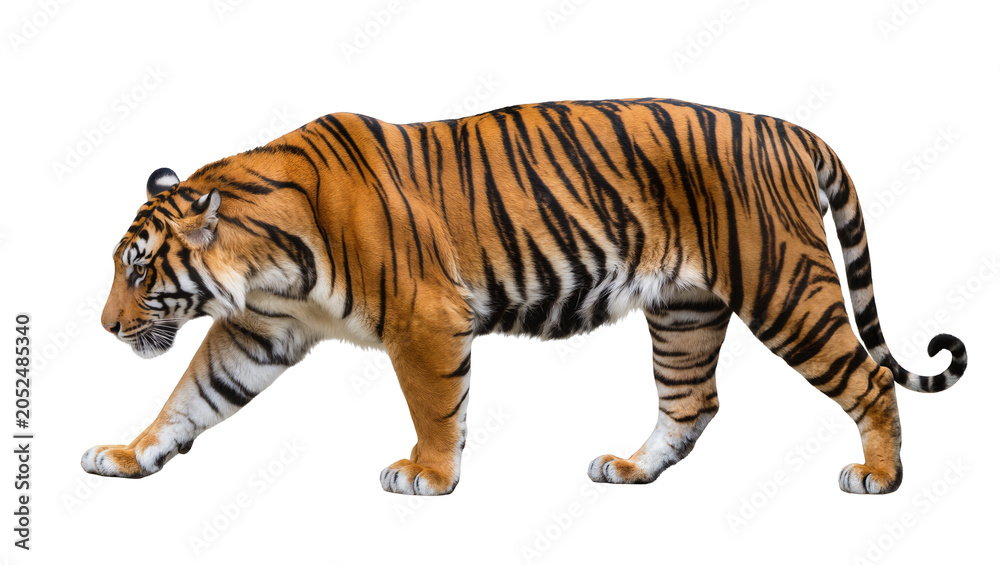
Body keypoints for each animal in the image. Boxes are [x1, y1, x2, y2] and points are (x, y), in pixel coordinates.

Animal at [83, 98, 967, 496]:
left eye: (140, 271)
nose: (105, 325)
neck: (267, 260)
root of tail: (790, 127)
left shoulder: (426, 321)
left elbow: (436, 406)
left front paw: (428, 476)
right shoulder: (258, 332)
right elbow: (189, 397)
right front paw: (129, 455)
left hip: (785, 286)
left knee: (867, 375)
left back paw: (879, 475)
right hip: (684, 309)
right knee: (691, 401)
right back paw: (630, 468)